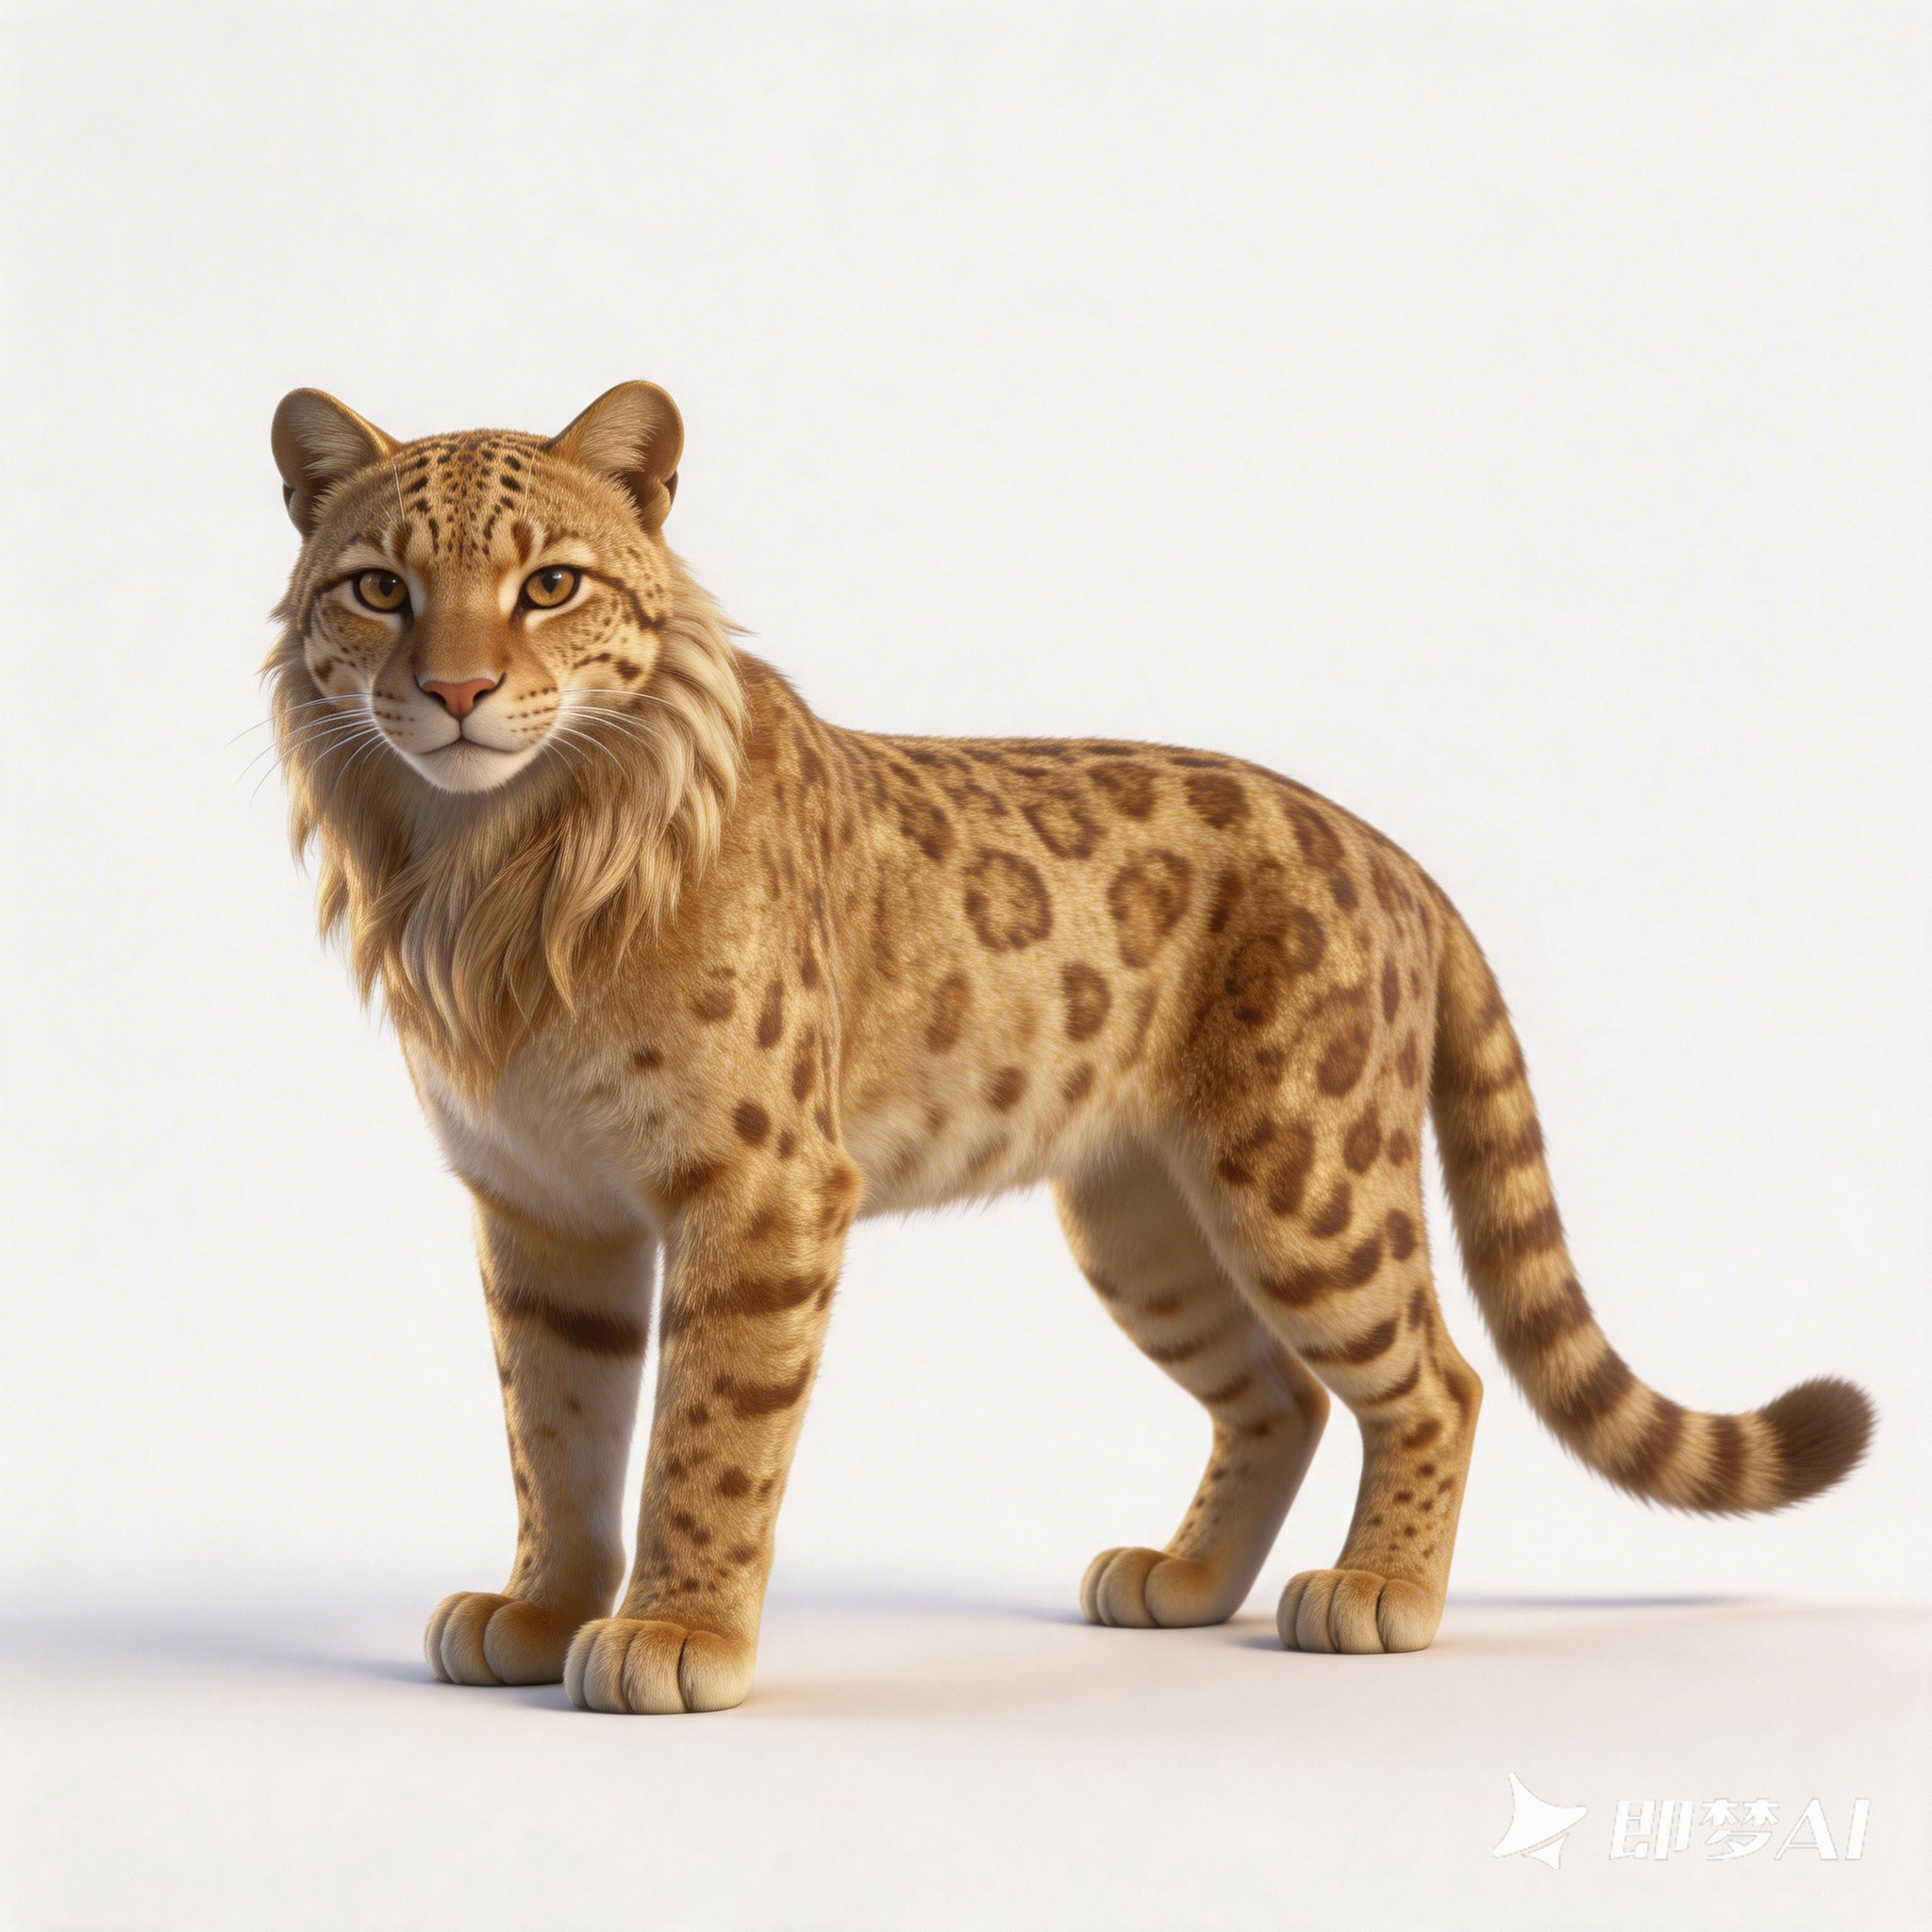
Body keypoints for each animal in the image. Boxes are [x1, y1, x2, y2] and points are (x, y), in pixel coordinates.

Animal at [267, 380, 1873, 1714]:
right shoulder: (541, 1206)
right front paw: (541, 1612)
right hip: (1141, 1218)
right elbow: (558, 1430)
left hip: (1307, 1179)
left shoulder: (762, 1189)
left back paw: (1378, 1593)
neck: (487, 865)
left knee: (1438, 1378)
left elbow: (707, 1435)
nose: (457, 693)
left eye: (550, 584)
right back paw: (1185, 1582)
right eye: (378, 589)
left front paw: (677, 1635)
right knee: (1280, 1392)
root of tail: (1386, 850)